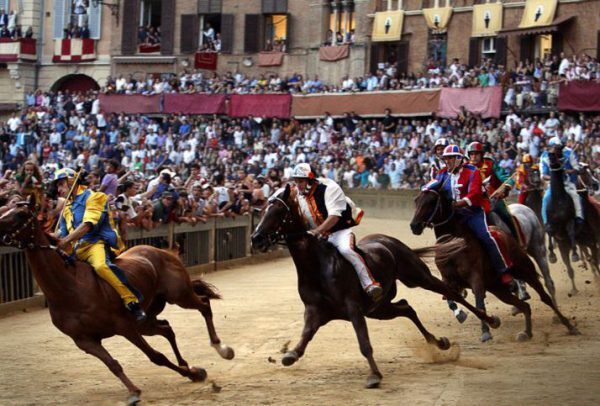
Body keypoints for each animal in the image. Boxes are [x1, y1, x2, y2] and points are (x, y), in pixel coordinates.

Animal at [0, 201, 234, 404]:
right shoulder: (84, 340)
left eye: (20, 214)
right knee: (167, 328)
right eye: (3, 208)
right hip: (146, 319)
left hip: (179, 295)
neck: (70, 289)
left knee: (204, 304)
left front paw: (189, 372)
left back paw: (221, 347)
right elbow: (113, 364)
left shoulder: (124, 326)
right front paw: (138, 390)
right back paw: (189, 365)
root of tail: (162, 251)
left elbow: (156, 356)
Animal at [250, 184, 502, 386]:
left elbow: (364, 343)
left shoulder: (353, 308)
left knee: (451, 293)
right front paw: (290, 354)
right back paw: (439, 342)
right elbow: (305, 337)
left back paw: (490, 321)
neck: (317, 267)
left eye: (279, 211)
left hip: (418, 276)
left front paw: (374, 375)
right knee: (406, 307)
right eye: (263, 210)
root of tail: (388, 240)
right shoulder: (316, 311)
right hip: (378, 308)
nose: (256, 238)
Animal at [410, 186, 580, 342]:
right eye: (416, 200)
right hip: (498, 288)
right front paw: (462, 314)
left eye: (431, 201)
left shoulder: (476, 278)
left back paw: (568, 325)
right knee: (524, 305)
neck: (453, 244)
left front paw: (486, 331)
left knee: (545, 295)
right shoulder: (448, 280)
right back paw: (526, 332)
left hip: (528, 266)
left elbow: (479, 303)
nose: (414, 225)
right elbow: (452, 299)